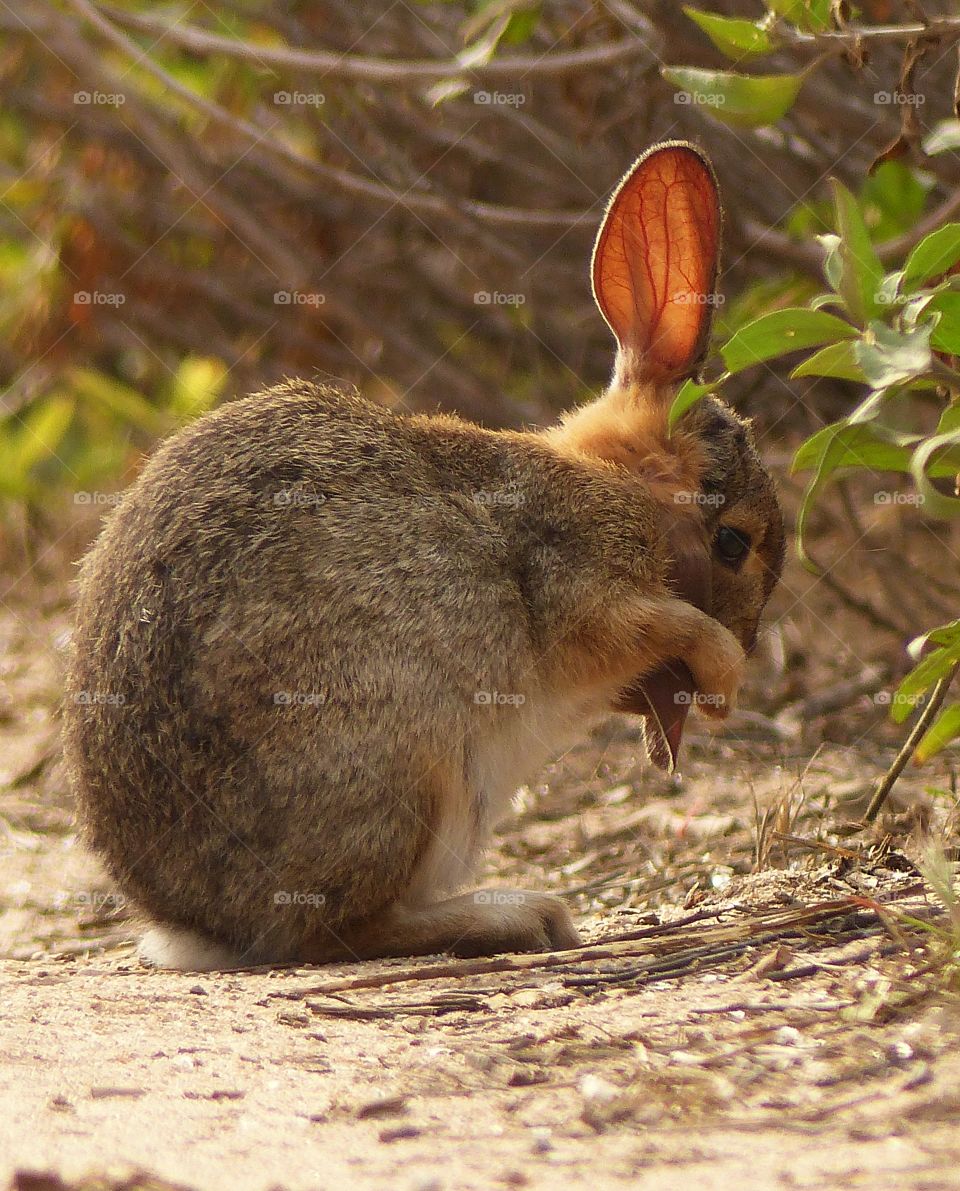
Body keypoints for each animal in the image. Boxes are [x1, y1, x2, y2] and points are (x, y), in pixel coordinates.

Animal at [62, 141, 784, 971]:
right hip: (409, 767)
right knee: (340, 929)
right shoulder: (582, 585)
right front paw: (725, 672)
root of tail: (196, 922)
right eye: (734, 542)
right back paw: (518, 917)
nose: (753, 644)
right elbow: (657, 623)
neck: (622, 484)